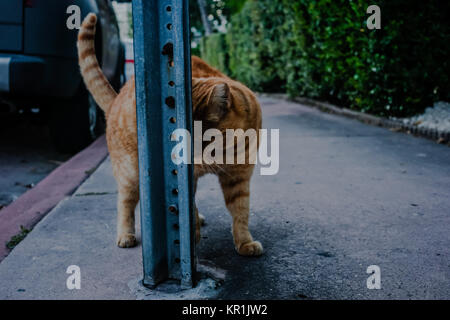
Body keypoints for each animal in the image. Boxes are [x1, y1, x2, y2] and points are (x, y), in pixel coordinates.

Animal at [76, 13, 262, 256]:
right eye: (176, 139)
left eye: (203, 141)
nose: (185, 158)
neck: (228, 151)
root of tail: (116, 99)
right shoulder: (184, 177)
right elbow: (188, 206)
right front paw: (191, 235)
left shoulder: (239, 178)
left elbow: (240, 212)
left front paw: (245, 242)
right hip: (130, 172)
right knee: (125, 202)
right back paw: (126, 235)